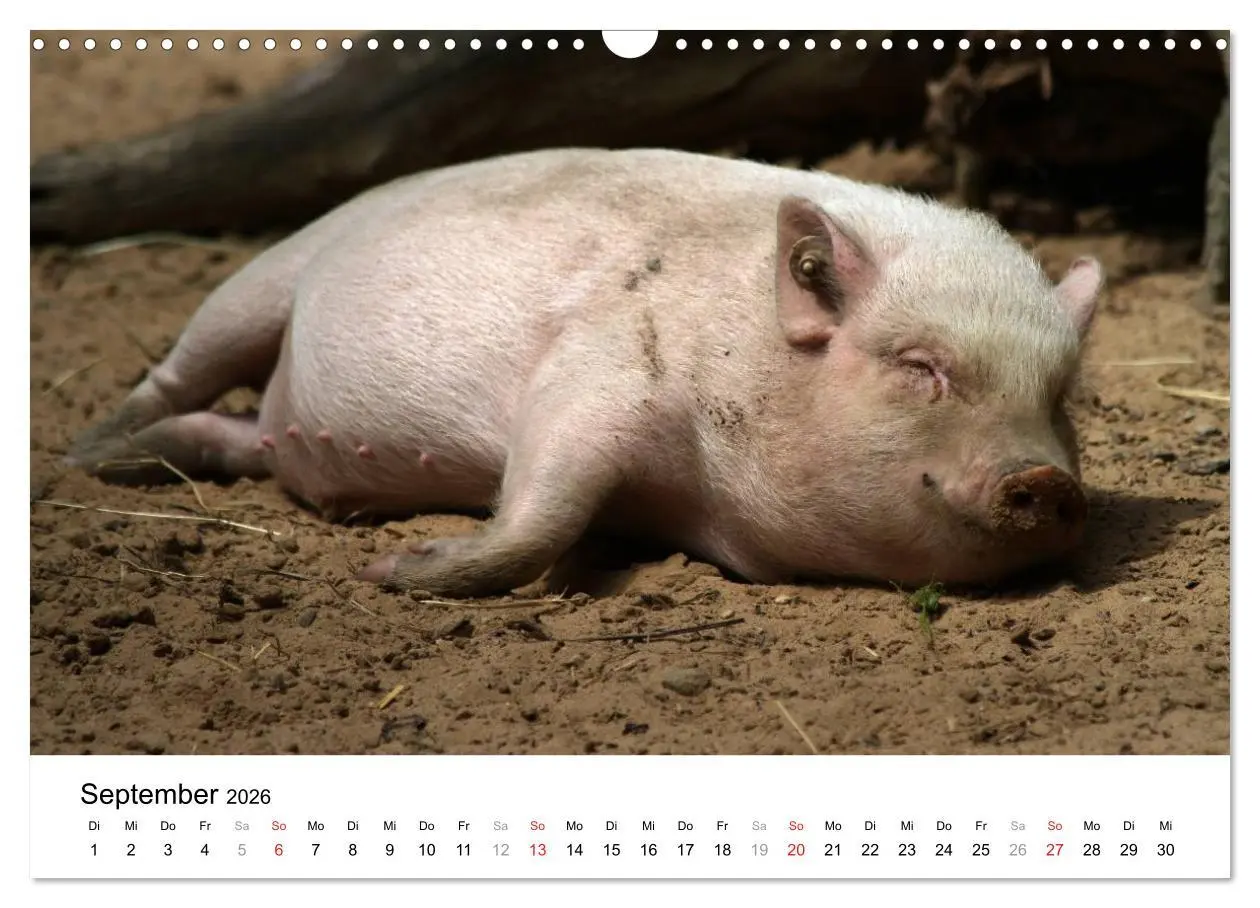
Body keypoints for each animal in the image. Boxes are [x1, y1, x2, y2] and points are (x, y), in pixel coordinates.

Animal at [66, 148, 1103, 598]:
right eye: (922, 366)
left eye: (1060, 397)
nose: (1045, 477)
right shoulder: (599, 365)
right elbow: (546, 509)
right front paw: (398, 571)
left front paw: (397, 563)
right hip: (263, 278)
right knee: (177, 374)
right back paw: (83, 460)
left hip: (268, 418)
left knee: (237, 437)